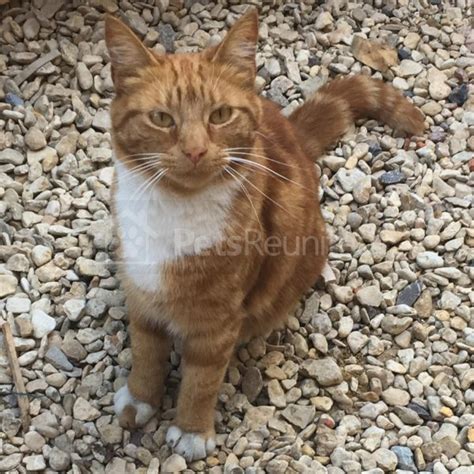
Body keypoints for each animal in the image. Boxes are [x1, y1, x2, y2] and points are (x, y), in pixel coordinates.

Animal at [105, 10, 424, 462]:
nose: (195, 151)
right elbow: (146, 354)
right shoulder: (142, 294)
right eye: (162, 119)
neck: (175, 212)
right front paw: (139, 399)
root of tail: (292, 132)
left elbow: (201, 380)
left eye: (220, 115)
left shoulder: (218, 320)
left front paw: (191, 431)